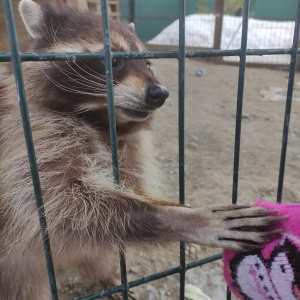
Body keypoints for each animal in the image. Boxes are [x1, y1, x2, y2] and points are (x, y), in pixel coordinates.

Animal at [0, 0, 284, 300]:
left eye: (148, 62)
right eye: (113, 60)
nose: (160, 93)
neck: (102, 120)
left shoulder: (131, 146)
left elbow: (127, 189)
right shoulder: (28, 140)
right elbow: (59, 204)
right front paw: (178, 219)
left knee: (99, 255)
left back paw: (108, 278)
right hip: (16, 269)